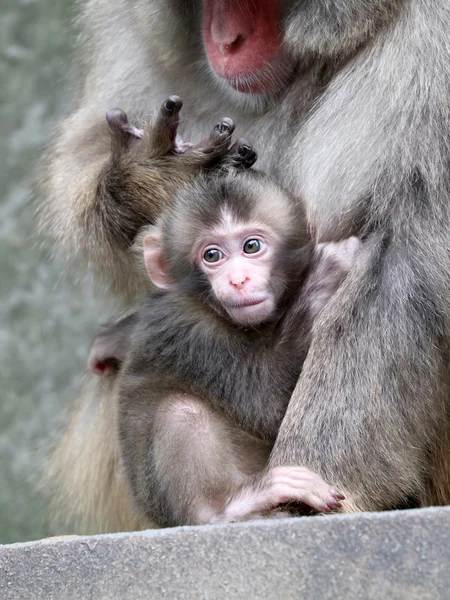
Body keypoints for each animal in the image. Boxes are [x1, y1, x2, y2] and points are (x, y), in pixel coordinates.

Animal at [89, 164, 360, 524]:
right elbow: (267, 406)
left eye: (252, 246)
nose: (238, 280)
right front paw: (329, 267)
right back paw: (226, 507)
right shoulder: (191, 334)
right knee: (180, 411)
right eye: (212, 255)